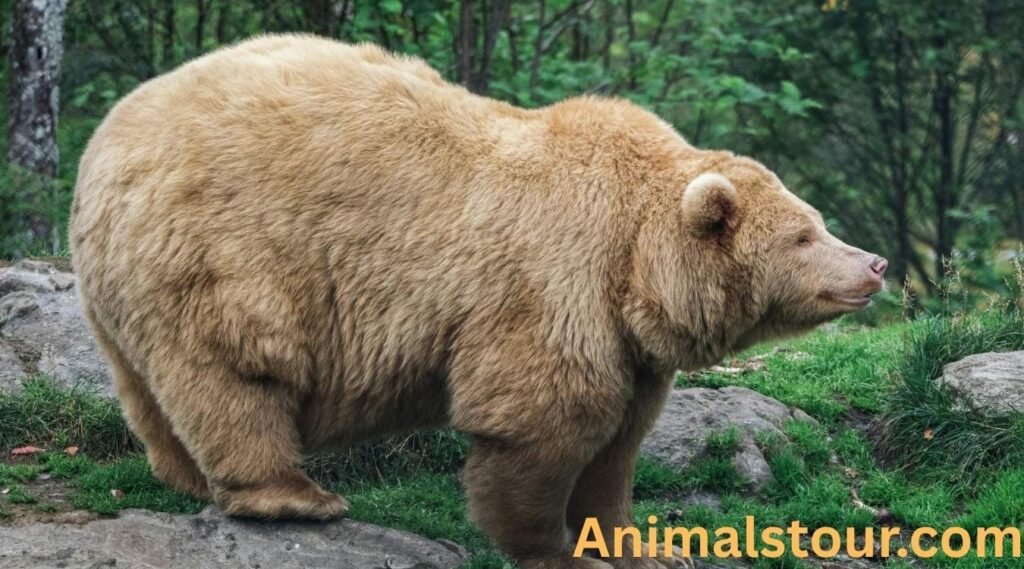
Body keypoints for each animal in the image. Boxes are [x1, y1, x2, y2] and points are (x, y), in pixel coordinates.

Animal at [70, 34, 887, 569]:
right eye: (806, 234)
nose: (875, 262)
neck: (635, 262)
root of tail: (102, 148)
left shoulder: (629, 343)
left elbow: (620, 443)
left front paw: (645, 546)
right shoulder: (554, 281)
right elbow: (544, 422)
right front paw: (559, 551)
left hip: (126, 294)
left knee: (151, 390)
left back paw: (185, 475)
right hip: (225, 252)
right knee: (239, 371)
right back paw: (293, 495)